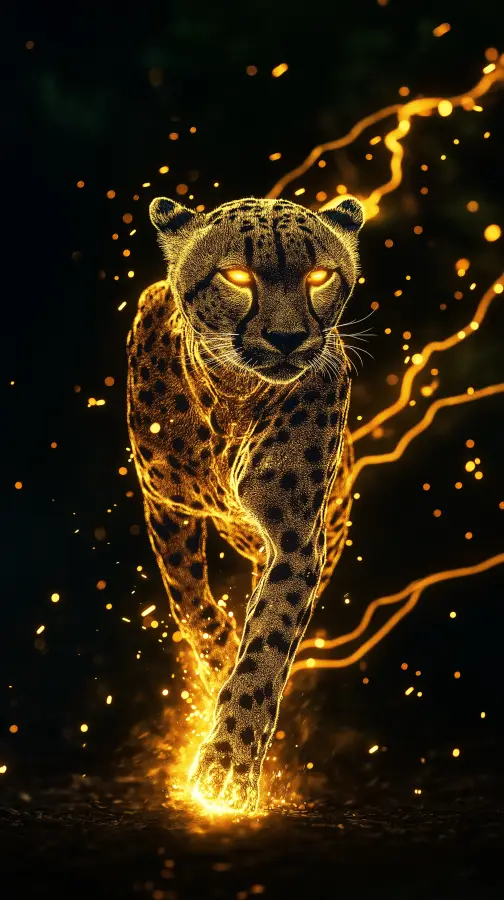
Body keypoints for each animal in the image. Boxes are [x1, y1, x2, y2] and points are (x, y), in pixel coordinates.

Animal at [126, 193, 364, 814]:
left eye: (318, 276)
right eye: (237, 276)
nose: (286, 338)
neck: (233, 396)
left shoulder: (296, 537)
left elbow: (270, 638)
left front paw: (228, 766)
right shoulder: (166, 503)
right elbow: (193, 605)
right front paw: (220, 663)